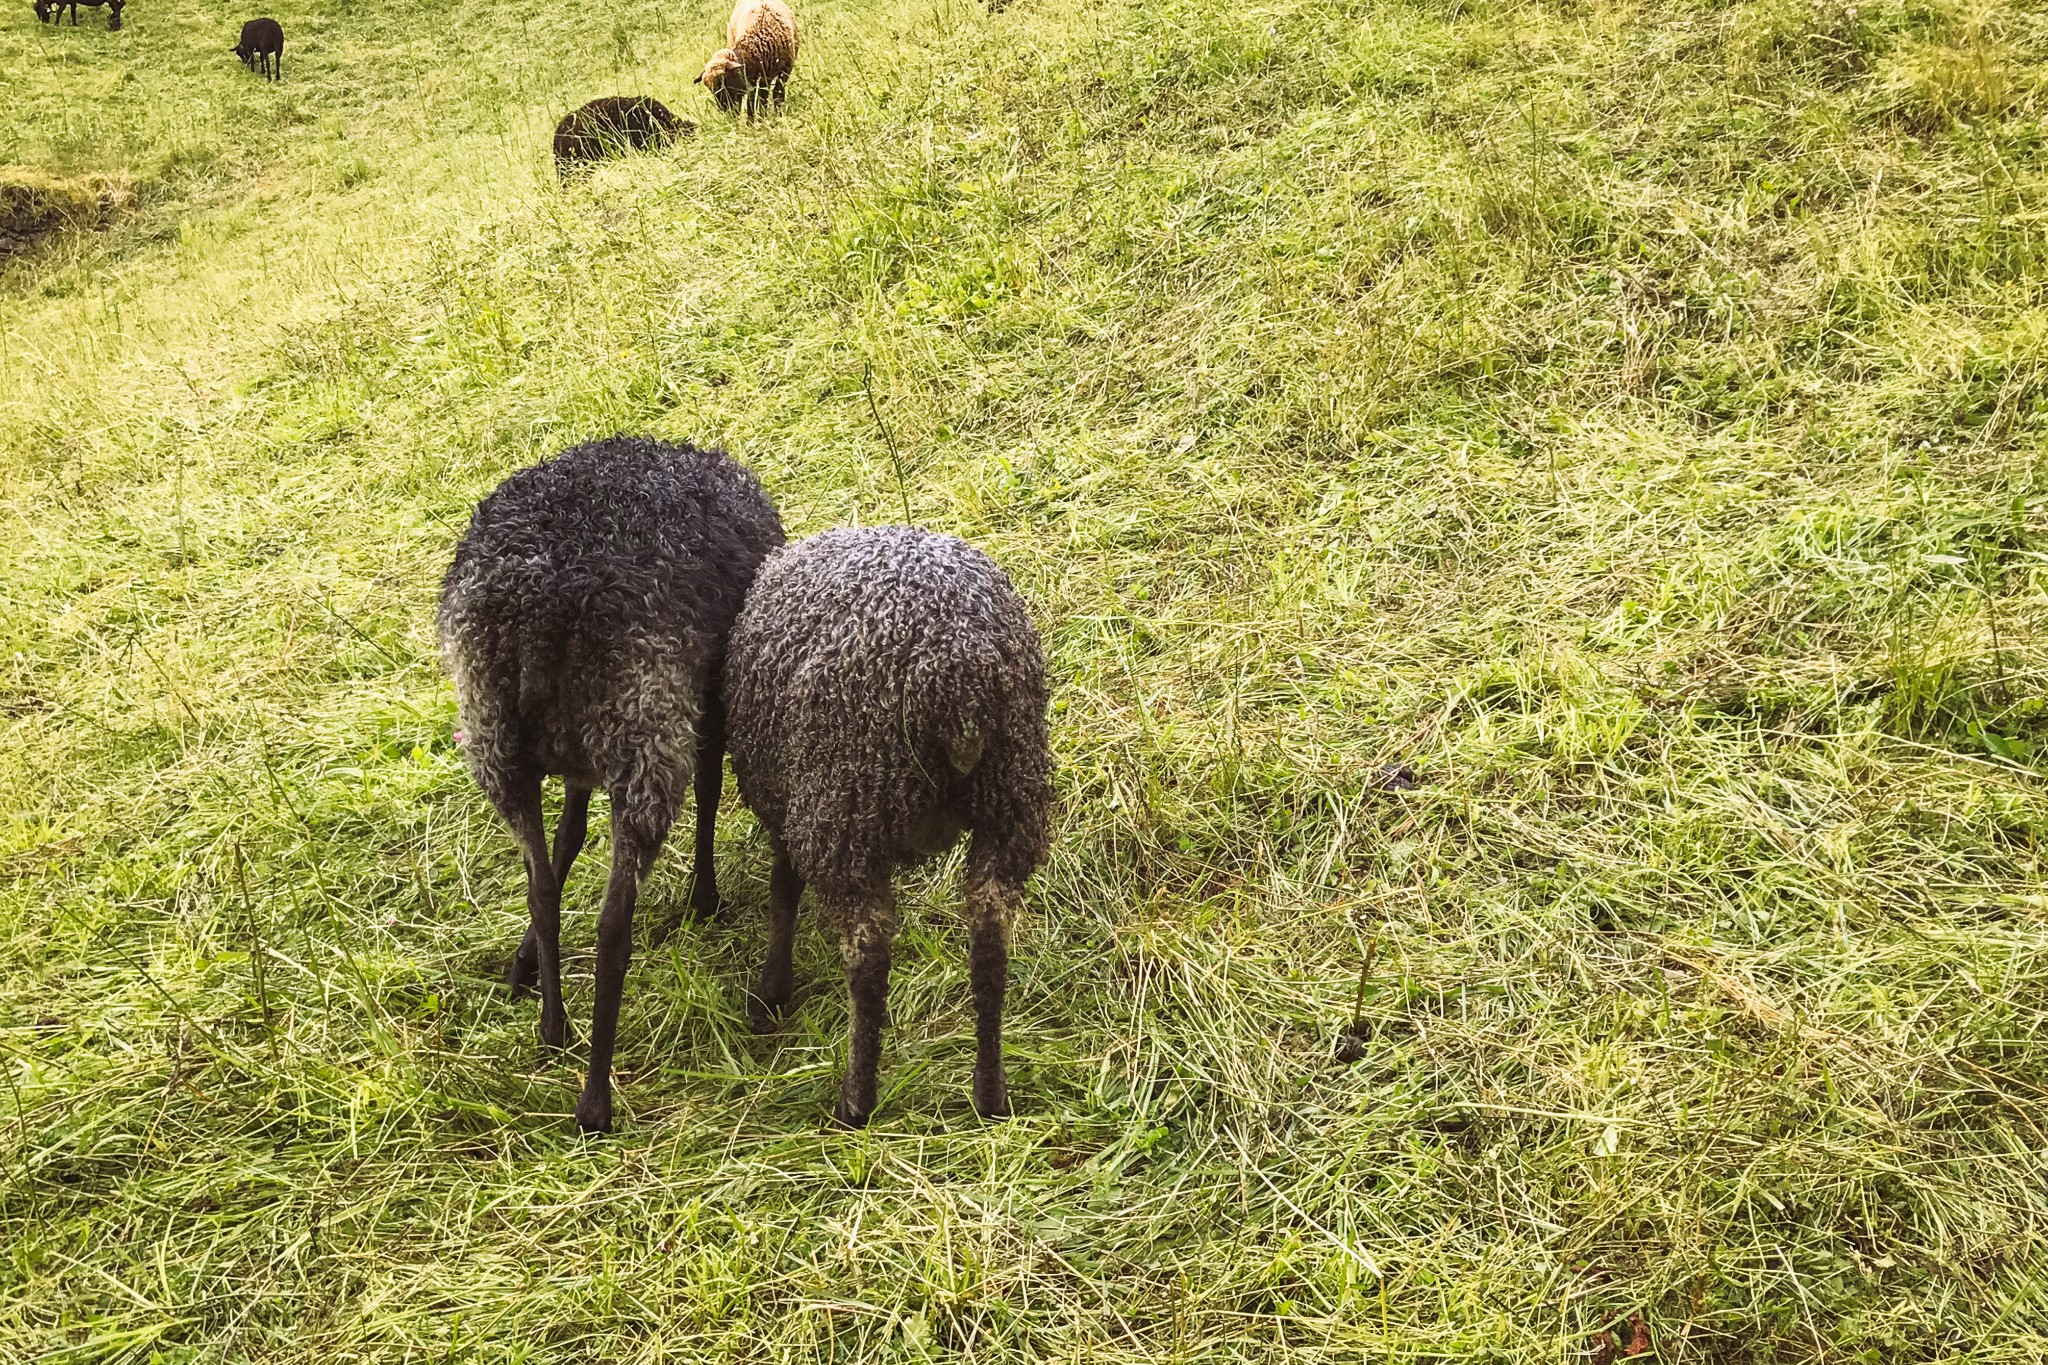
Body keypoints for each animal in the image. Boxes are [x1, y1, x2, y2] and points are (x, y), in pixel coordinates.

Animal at [440, 435, 782, 1129]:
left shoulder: (575, 762)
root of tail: (543, 602)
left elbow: (567, 841)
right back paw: (595, 1098)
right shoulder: (707, 701)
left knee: (542, 888)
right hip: (643, 729)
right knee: (612, 923)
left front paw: (523, 966)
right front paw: (704, 899)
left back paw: (553, 1028)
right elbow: (710, 791)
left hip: (498, 741)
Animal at [724, 527, 1048, 1129]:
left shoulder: (791, 800)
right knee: (990, 943)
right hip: (1011, 797)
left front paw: (771, 992)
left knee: (869, 957)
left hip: (846, 804)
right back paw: (990, 1094)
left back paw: (856, 1099)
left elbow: (783, 888)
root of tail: (957, 670)